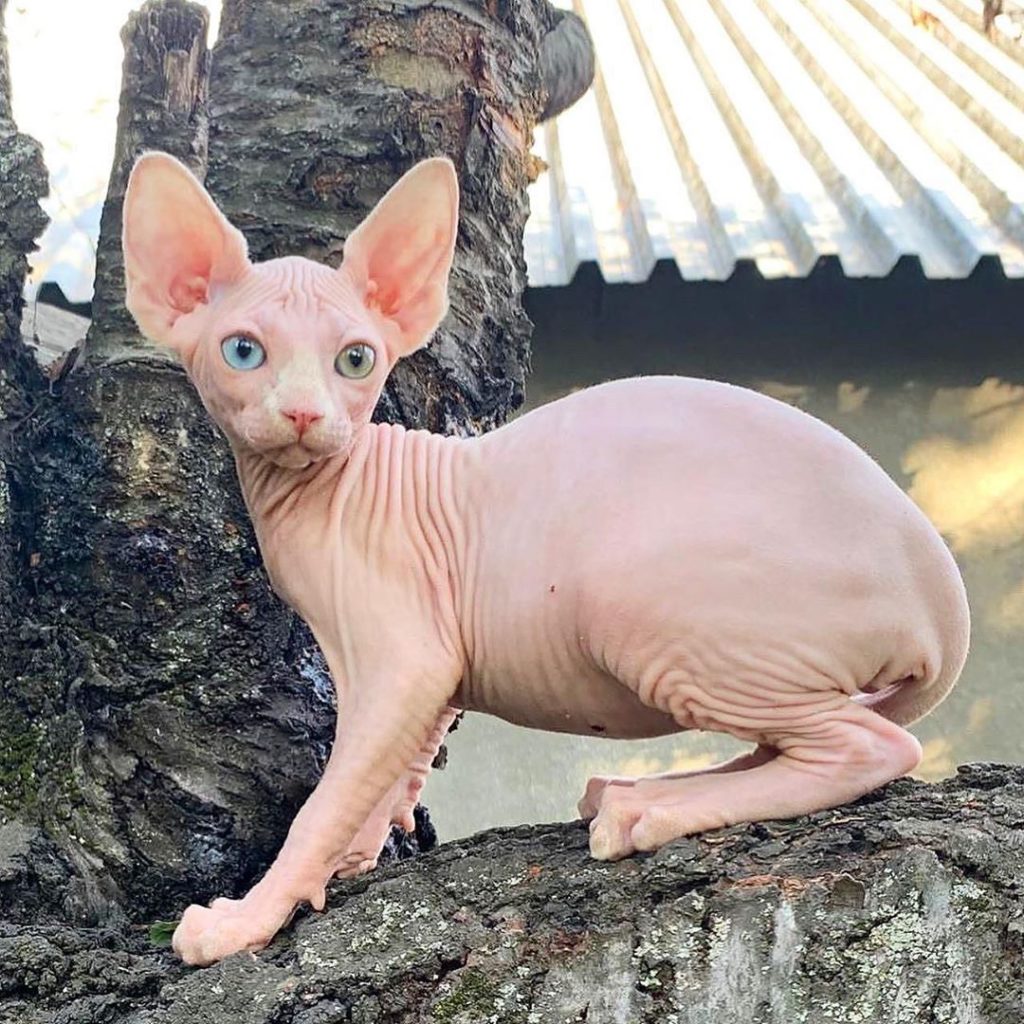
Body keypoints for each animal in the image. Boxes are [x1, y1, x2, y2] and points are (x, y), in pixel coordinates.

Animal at [119, 153, 966, 966]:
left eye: (355, 361)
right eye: (243, 352)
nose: (303, 415)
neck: (324, 491)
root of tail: (942, 601)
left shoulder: (406, 660)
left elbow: (328, 796)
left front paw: (245, 921)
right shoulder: (426, 665)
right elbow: (396, 763)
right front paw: (356, 853)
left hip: (648, 604)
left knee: (871, 746)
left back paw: (649, 809)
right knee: (788, 741)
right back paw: (631, 789)